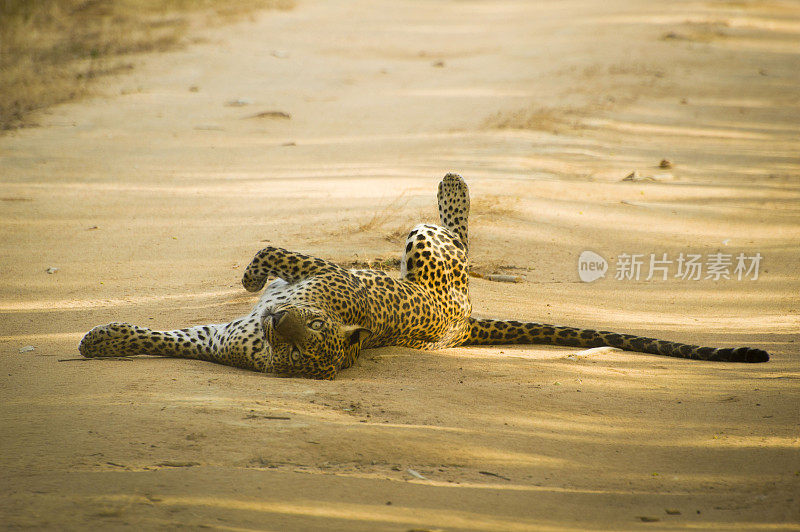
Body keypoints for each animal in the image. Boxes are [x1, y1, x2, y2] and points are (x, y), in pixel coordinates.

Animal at [79, 171, 768, 378]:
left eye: (309, 340)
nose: (278, 323)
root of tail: (465, 323)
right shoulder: (215, 338)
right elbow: (155, 336)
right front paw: (101, 339)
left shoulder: (322, 276)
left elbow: (284, 256)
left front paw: (255, 273)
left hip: (425, 254)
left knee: (453, 232)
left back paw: (453, 181)